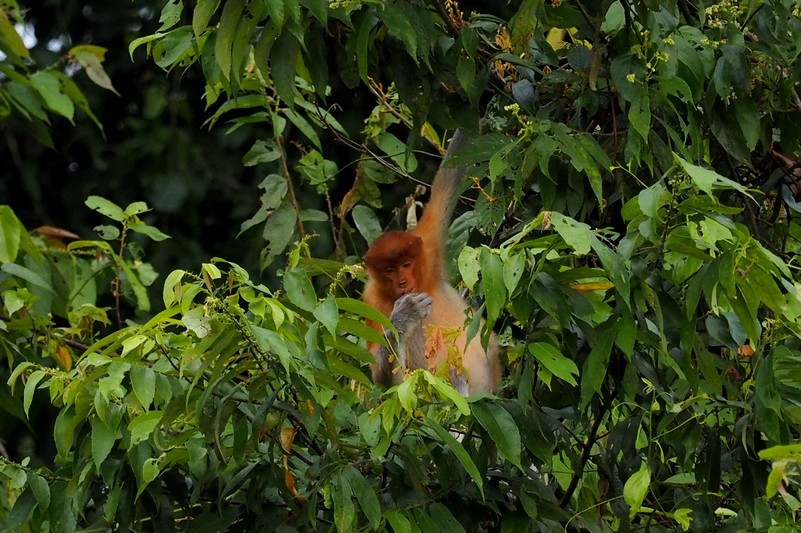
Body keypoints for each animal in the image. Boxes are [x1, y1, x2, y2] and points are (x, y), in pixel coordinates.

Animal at [364, 130, 500, 392]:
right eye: (390, 270)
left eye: (406, 264)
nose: (403, 283)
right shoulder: (371, 300)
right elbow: (382, 377)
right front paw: (404, 316)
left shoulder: (426, 245)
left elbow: (447, 183)